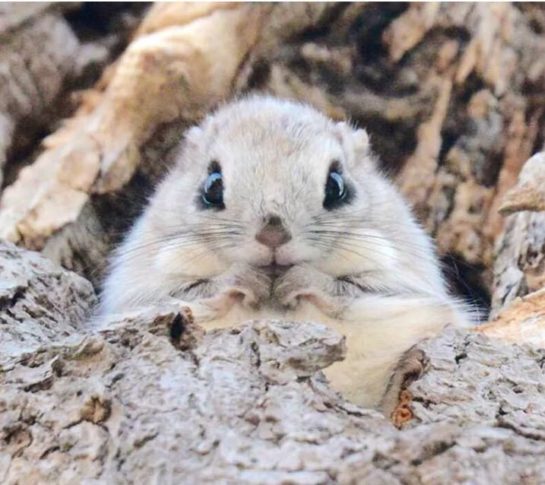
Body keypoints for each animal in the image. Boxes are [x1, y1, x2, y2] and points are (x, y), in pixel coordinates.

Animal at [99, 95, 472, 408]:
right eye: (211, 186)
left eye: (337, 186)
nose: (273, 234)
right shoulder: (143, 291)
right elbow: (190, 292)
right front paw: (248, 279)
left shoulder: (402, 280)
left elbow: (352, 289)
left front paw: (297, 280)